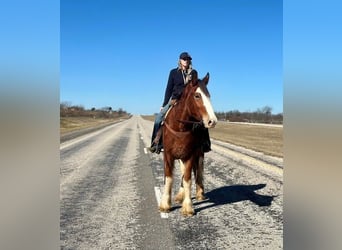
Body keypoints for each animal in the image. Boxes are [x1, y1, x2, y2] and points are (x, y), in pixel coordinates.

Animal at [159, 71, 218, 216]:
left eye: (209, 95)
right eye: (197, 95)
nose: (212, 121)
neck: (180, 127)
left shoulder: (190, 155)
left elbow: (187, 179)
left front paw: (188, 207)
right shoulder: (168, 155)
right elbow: (169, 177)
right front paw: (165, 204)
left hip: (199, 153)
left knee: (199, 170)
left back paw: (200, 192)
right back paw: (180, 195)